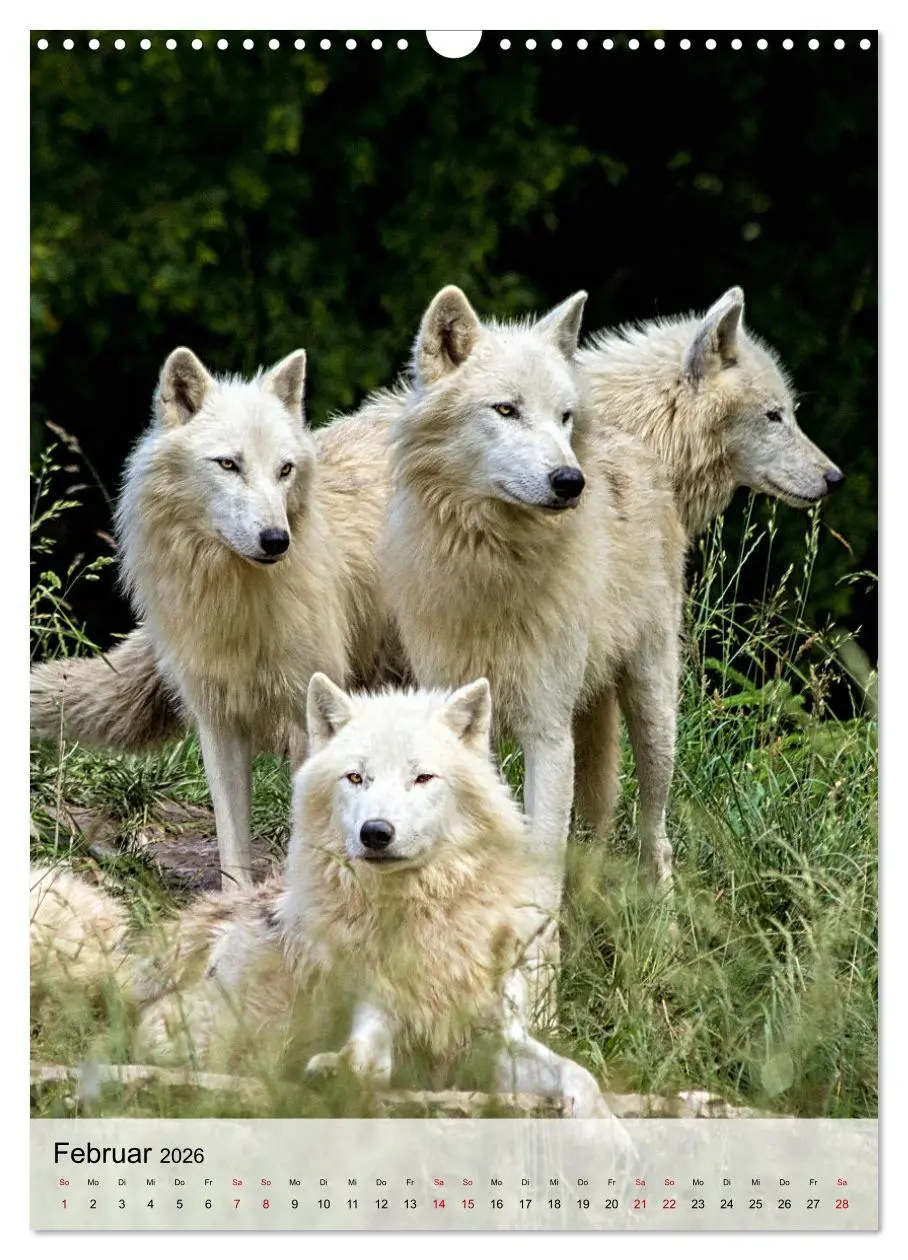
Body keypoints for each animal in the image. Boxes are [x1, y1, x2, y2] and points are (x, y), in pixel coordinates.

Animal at [31, 677, 614, 1118]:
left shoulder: (498, 1036)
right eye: (356, 777)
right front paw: (338, 1073)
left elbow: (579, 1076)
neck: (421, 917)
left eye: (422, 778)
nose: (376, 832)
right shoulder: (377, 1013)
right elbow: (366, 1057)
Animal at [382, 286, 687, 907]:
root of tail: (632, 446)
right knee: (599, 821)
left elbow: (543, 856)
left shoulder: (547, 729)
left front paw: (540, 936)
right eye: (506, 410)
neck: (491, 565)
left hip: (652, 711)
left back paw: (662, 917)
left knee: (655, 829)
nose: (571, 482)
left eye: (563, 417)